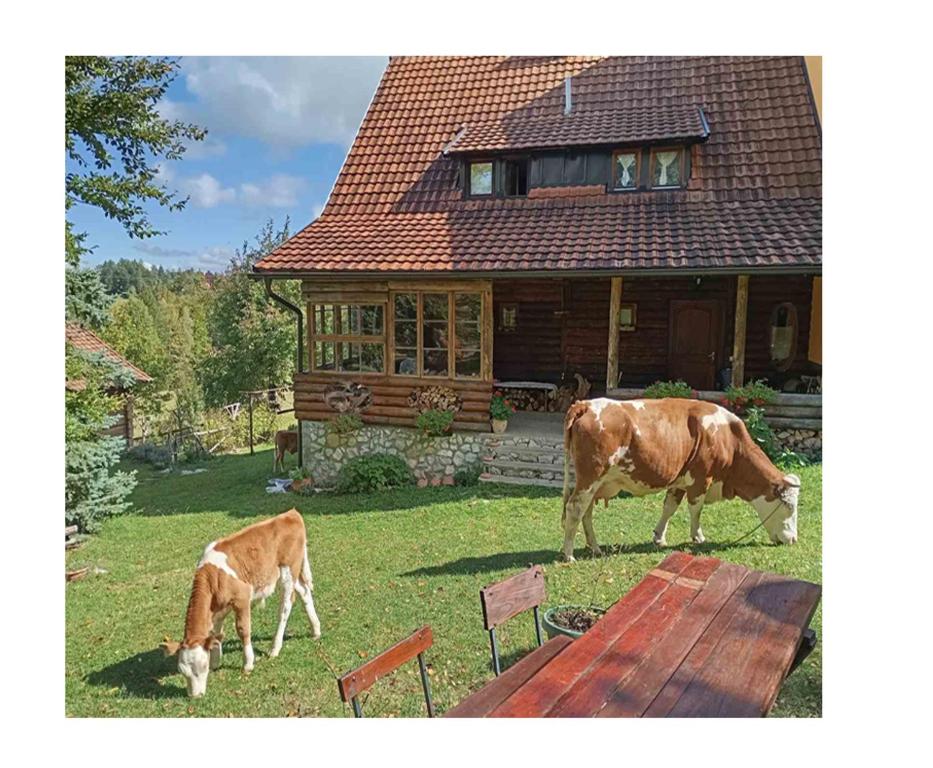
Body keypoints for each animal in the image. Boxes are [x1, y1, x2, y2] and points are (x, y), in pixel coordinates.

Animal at [161, 509, 321, 697]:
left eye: (203, 666)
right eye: (182, 670)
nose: (195, 696)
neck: (213, 577)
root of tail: (291, 514)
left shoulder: (242, 597)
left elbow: (243, 630)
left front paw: (248, 664)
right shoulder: (218, 609)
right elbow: (216, 633)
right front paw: (216, 660)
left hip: (288, 570)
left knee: (286, 606)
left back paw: (275, 648)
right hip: (291, 572)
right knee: (304, 592)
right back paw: (316, 630)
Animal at [560, 398, 800, 562]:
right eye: (789, 506)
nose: (794, 539)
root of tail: (586, 404)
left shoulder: (679, 481)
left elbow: (669, 507)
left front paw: (659, 537)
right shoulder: (701, 479)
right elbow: (696, 509)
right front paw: (698, 537)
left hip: (595, 484)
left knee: (586, 513)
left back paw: (595, 547)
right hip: (589, 478)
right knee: (574, 509)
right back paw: (569, 555)